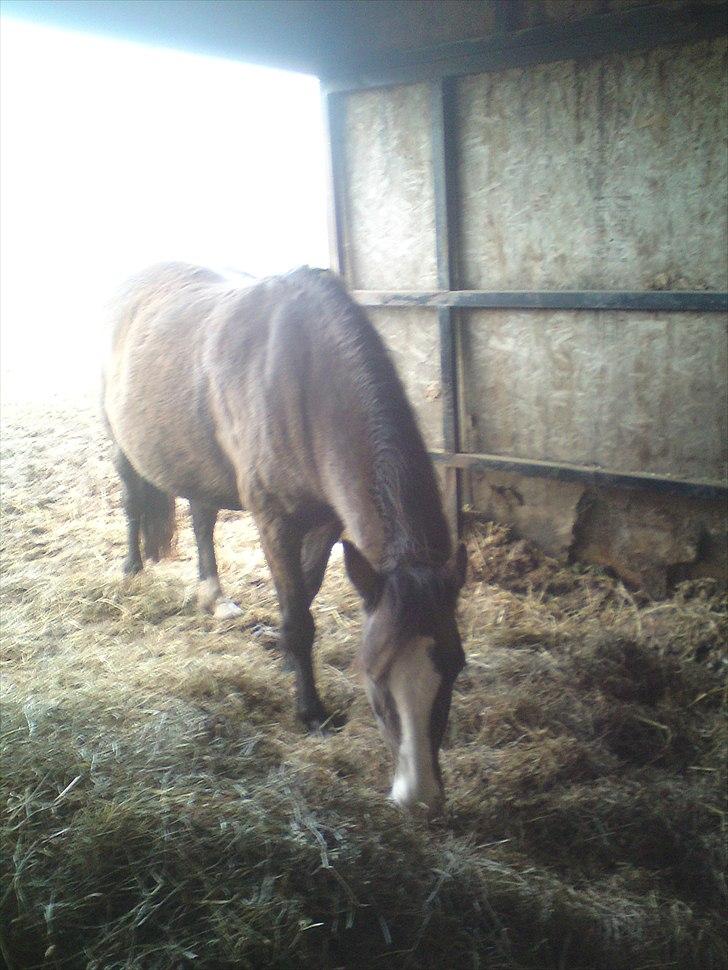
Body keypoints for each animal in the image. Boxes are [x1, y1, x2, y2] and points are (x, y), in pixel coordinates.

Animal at [102, 262, 466, 808]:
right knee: (131, 500)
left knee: (203, 517)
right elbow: (299, 616)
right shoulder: (274, 520)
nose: (418, 795)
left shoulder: (327, 522)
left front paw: (285, 661)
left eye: (457, 665)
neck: (305, 377)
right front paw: (310, 711)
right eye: (373, 675)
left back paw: (214, 596)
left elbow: (306, 595)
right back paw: (131, 569)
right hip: (120, 441)